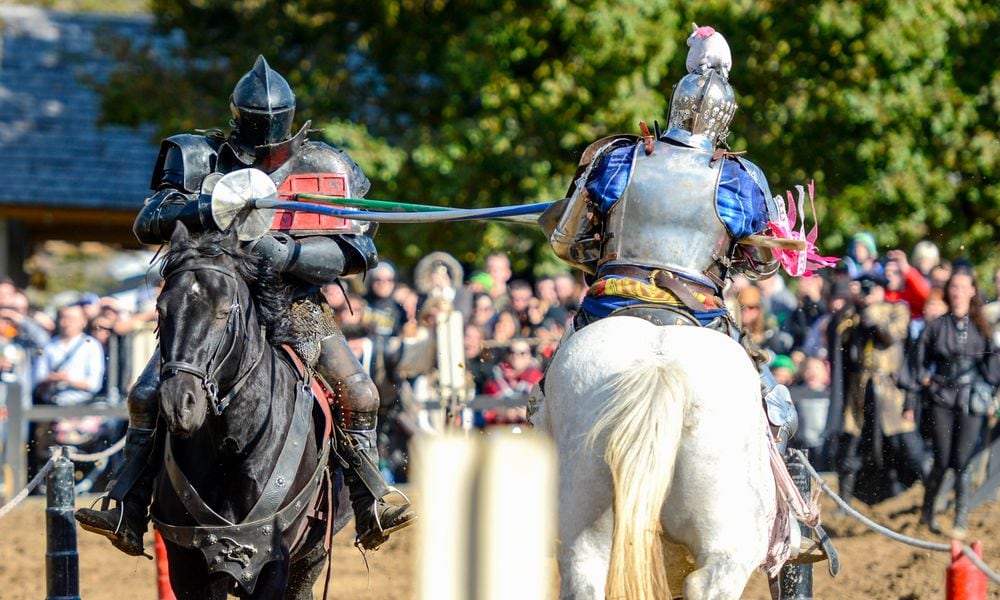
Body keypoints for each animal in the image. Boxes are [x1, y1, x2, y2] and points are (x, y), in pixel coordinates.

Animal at [148, 223, 352, 596]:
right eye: (161, 310)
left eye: (223, 311)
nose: (178, 404)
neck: (232, 445)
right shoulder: (187, 564)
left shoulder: (274, 563)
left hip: (312, 558)